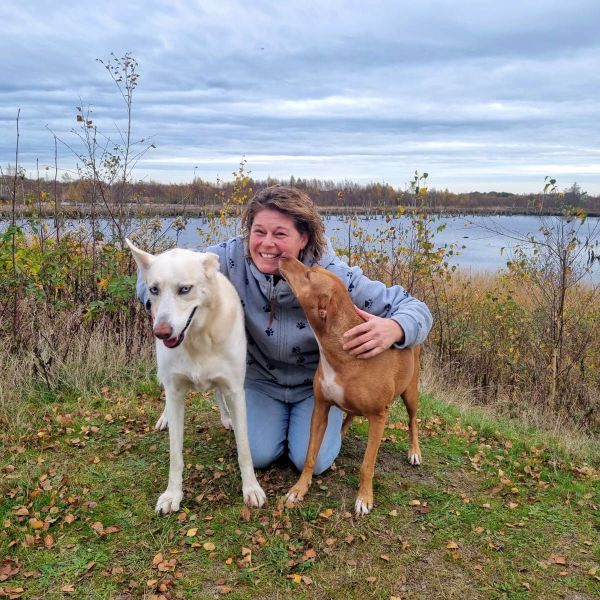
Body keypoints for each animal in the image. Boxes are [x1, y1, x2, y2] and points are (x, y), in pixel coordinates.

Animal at [127, 241, 268, 512]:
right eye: (154, 289)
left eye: (185, 289)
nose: (161, 332)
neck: (198, 338)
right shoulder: (175, 390)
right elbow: (175, 455)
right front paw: (172, 494)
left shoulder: (235, 390)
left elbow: (245, 449)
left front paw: (251, 489)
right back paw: (164, 418)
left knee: (218, 393)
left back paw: (226, 418)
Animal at [278, 254, 420, 516]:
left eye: (309, 275)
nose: (284, 256)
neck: (341, 351)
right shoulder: (320, 408)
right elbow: (310, 455)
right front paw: (299, 488)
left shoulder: (379, 417)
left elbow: (367, 465)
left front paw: (364, 498)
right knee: (352, 415)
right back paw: (341, 433)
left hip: (410, 394)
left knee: (413, 420)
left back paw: (414, 451)